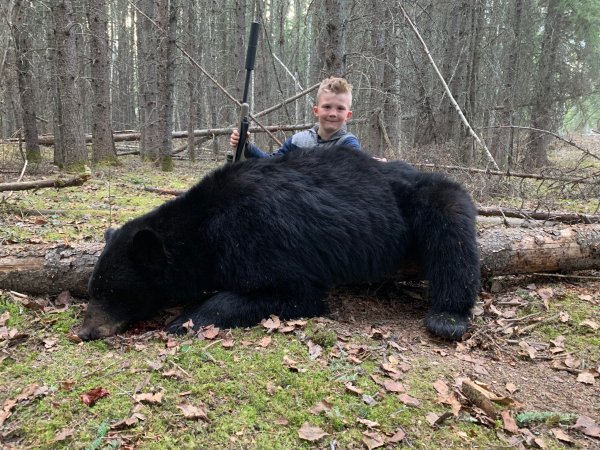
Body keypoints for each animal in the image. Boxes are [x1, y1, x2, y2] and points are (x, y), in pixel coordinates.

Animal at [77, 148, 480, 342]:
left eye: (112, 292)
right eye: (93, 289)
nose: (84, 332)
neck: (202, 231)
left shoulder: (260, 236)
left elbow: (295, 293)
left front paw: (185, 319)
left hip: (423, 197)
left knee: (451, 232)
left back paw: (448, 317)